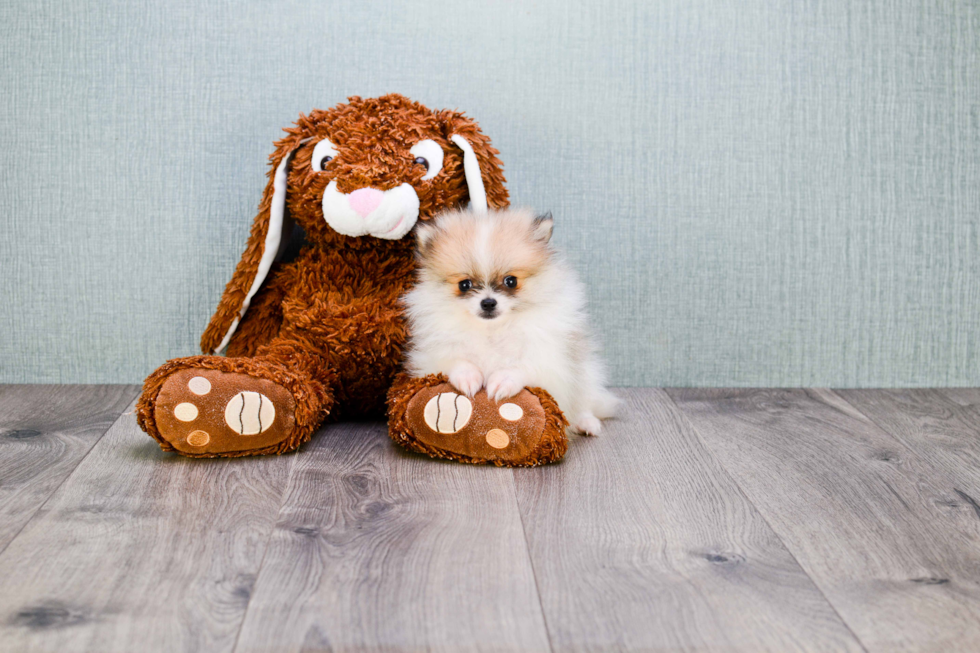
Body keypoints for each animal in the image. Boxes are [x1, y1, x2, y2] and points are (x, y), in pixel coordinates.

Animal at [402, 208, 616, 432]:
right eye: (464, 284)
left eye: (511, 281)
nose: (488, 303)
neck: (491, 330)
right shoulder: (431, 356)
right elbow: (456, 360)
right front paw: (468, 377)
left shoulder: (549, 359)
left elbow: (522, 366)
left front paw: (503, 380)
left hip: (587, 372)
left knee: (583, 401)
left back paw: (586, 423)